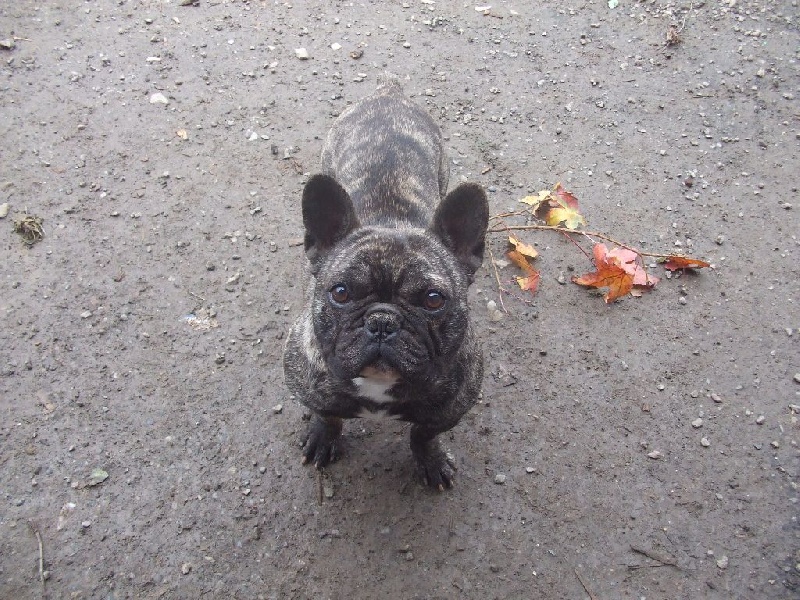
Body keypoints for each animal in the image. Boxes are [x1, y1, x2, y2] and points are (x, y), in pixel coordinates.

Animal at [283, 76, 488, 489]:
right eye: (340, 293)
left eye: (433, 299)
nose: (382, 320)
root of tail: (388, 92)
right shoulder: (308, 385)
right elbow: (328, 414)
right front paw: (323, 436)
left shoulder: (450, 409)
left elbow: (422, 434)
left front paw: (430, 460)